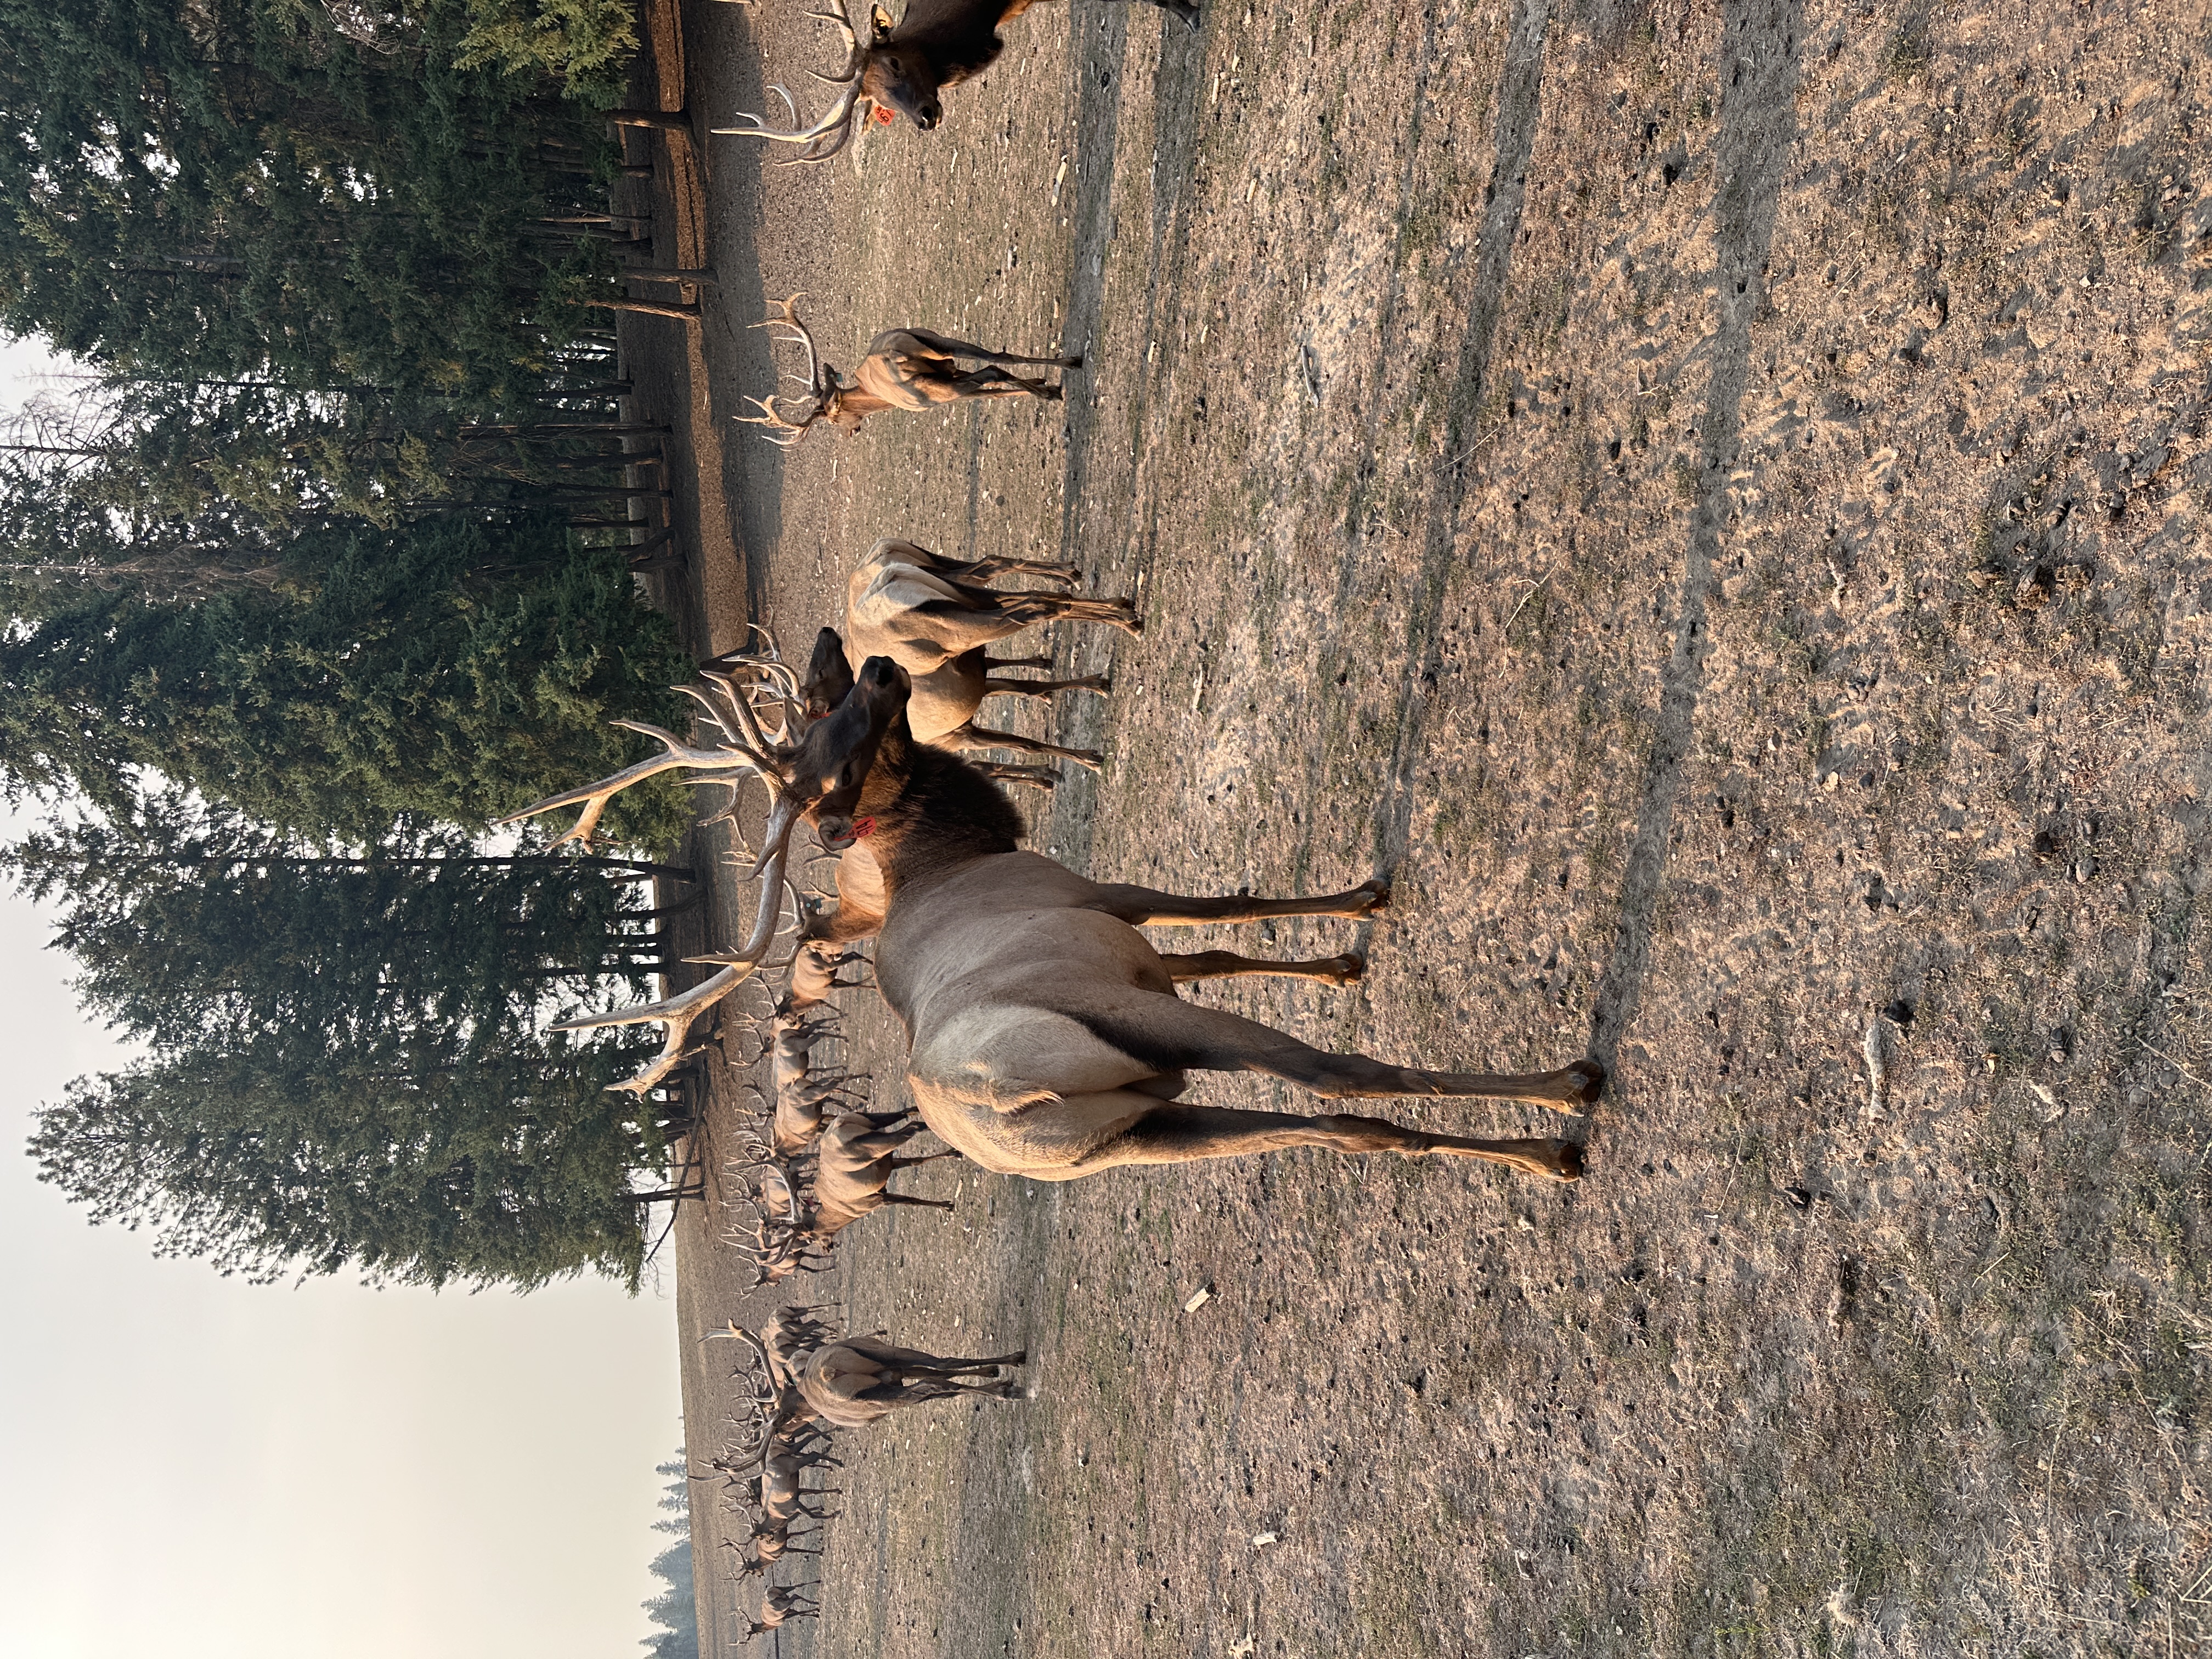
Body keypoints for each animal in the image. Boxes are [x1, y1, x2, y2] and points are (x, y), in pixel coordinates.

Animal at [510, 653, 1602, 1182]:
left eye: (835, 717)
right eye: (841, 755)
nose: (880, 669)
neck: (951, 850)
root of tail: (997, 1100)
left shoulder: (1133, 951)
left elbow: (1215, 943)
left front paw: (1339, 962)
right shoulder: (1100, 900)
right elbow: (1222, 908)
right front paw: (1360, 909)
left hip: (1132, 1133)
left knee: (1347, 1133)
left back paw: (1534, 1153)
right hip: (1147, 1038)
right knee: (1345, 1077)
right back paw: (1561, 1105)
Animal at [735, 295, 1077, 445]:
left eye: (832, 420)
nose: (849, 432)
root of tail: (893, 354)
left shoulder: (943, 390)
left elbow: (993, 393)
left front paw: (1044, 388)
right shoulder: (951, 370)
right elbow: (999, 388)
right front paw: (1043, 382)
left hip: (932, 393)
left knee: (993, 370)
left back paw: (1052, 391)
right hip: (940, 343)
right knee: (999, 359)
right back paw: (1067, 365)